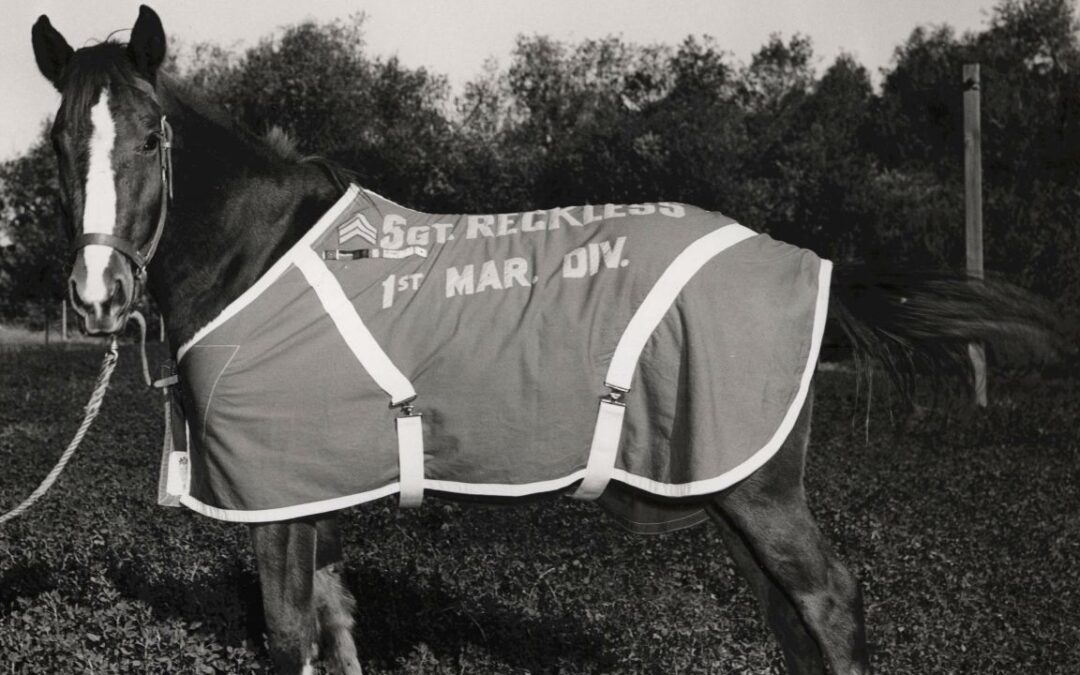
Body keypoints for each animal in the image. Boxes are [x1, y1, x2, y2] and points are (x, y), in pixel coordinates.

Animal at [33, 6, 1062, 673]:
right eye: (57, 145)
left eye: (150, 137)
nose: (96, 295)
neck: (262, 253)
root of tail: (807, 260)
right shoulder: (316, 493)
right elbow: (337, 627)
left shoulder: (277, 500)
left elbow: (291, 638)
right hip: (727, 481)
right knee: (792, 617)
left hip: (755, 487)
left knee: (828, 603)